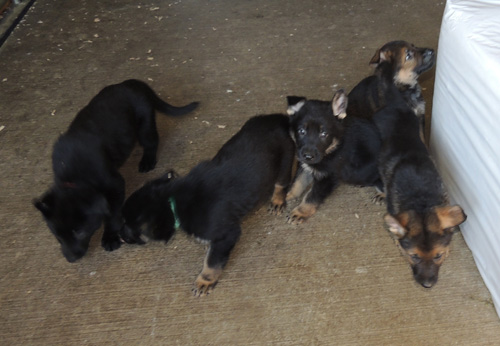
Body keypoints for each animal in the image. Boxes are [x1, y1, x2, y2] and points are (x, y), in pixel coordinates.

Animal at [32, 78, 197, 262]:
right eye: (57, 234)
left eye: (79, 232)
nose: (71, 259)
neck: (73, 178)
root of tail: (131, 83)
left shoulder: (115, 185)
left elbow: (112, 215)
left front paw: (110, 237)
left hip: (145, 123)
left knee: (152, 141)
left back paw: (147, 161)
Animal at [121, 114, 294, 298]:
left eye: (128, 224)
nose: (120, 237)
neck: (172, 200)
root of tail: (279, 118)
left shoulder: (227, 234)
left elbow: (212, 263)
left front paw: (204, 281)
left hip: (285, 160)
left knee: (281, 183)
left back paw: (277, 201)